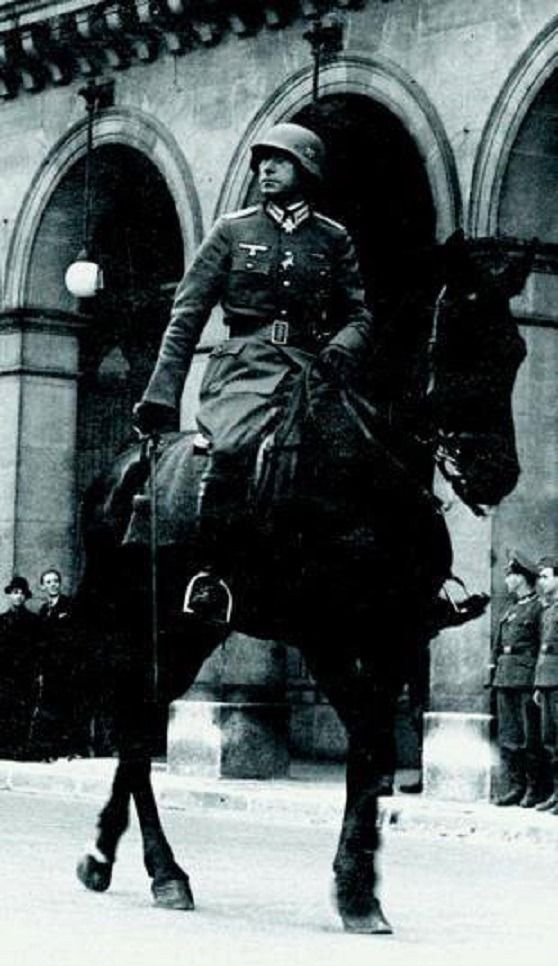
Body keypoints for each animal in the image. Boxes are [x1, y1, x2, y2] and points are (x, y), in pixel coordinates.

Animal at [73, 231, 532, 932]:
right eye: (454, 337)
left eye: (515, 350)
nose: (493, 472)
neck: (364, 467)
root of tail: (122, 465)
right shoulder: (327, 637)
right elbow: (367, 747)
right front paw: (356, 889)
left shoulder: (395, 636)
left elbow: (373, 753)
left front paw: (361, 884)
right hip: (148, 626)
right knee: (133, 731)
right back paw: (162, 871)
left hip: (188, 635)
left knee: (139, 728)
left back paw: (108, 856)